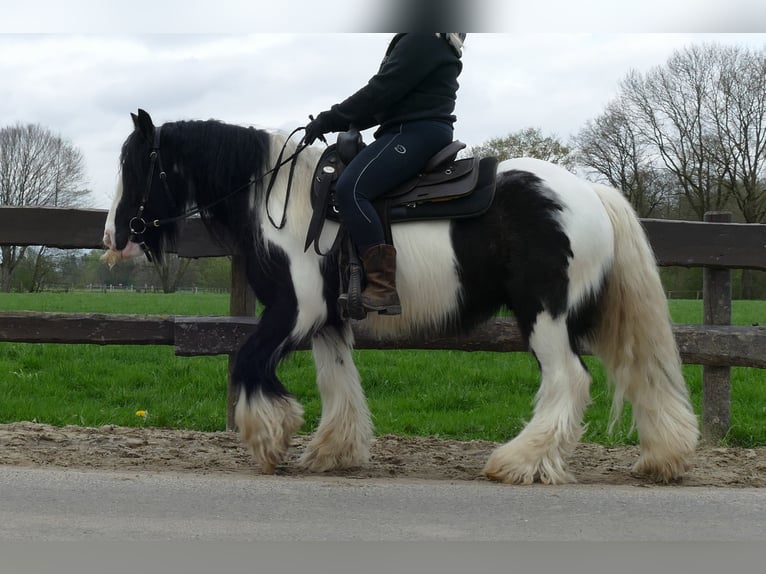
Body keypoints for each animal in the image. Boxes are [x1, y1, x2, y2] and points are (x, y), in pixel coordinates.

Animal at [103, 109, 704, 486]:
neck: (280, 202)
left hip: (545, 315)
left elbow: (250, 363)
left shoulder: (296, 310)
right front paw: (335, 451)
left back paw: (519, 462)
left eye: (135, 165)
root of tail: (593, 194)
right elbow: (338, 380)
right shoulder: (327, 320)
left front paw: (269, 441)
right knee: (643, 377)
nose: (113, 237)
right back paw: (662, 458)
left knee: (569, 380)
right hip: (589, 317)